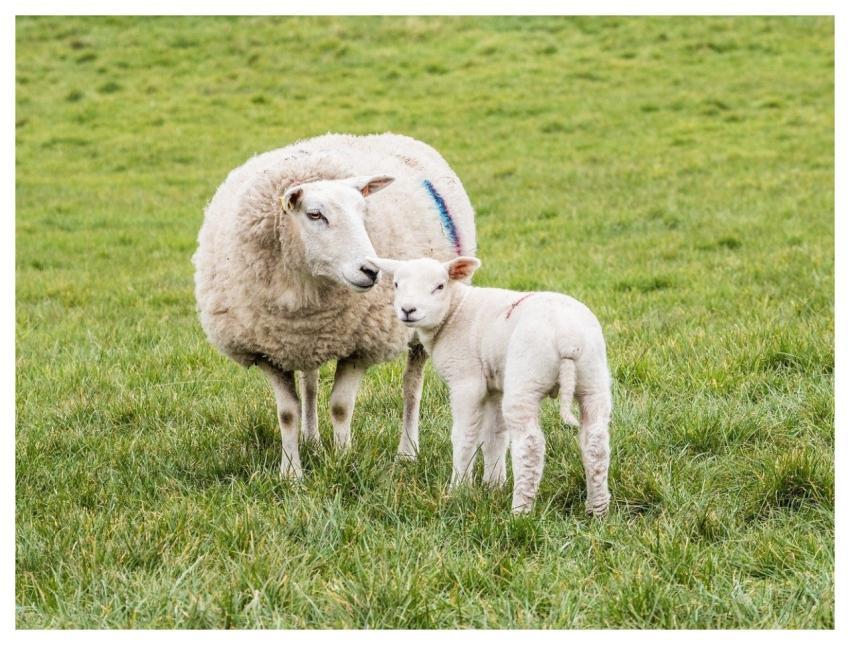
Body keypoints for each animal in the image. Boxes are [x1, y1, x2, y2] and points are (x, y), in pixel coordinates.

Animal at [193, 133, 476, 478]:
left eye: (363, 211)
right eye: (315, 214)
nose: (371, 270)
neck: (304, 284)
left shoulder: (360, 346)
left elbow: (341, 406)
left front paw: (342, 460)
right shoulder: (266, 350)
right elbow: (287, 412)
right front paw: (291, 473)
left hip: (423, 323)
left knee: (411, 388)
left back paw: (407, 452)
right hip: (306, 341)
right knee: (311, 384)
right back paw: (312, 440)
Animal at [369, 256, 612, 515]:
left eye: (439, 286)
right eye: (396, 284)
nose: (408, 310)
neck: (455, 311)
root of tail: (568, 338)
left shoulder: (466, 380)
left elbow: (464, 436)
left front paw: (459, 489)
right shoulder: (495, 386)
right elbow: (495, 436)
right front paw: (493, 485)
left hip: (526, 379)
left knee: (530, 445)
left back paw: (520, 512)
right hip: (593, 377)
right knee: (596, 441)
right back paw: (597, 510)